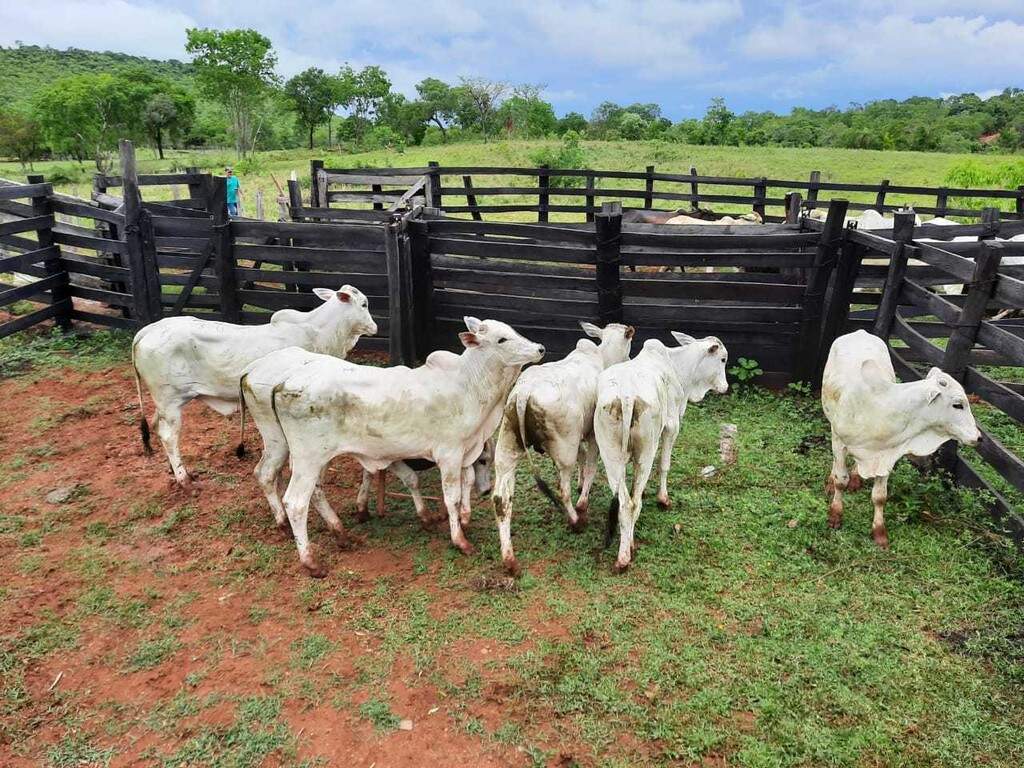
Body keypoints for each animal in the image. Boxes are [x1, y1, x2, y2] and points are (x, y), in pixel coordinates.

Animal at [132, 286, 376, 483]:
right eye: (364, 304)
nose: (374, 327)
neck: (320, 331)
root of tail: (147, 331)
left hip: (164, 403)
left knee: (155, 425)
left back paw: (172, 469)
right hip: (170, 402)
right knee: (168, 436)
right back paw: (183, 478)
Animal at [260, 319, 544, 577]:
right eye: (502, 339)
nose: (540, 348)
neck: (469, 386)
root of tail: (284, 383)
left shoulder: (465, 452)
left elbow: (464, 484)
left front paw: (461, 520)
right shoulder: (449, 454)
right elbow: (451, 497)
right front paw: (460, 540)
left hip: (316, 458)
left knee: (316, 492)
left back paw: (341, 533)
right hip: (308, 458)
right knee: (295, 503)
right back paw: (311, 561)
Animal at [491, 321, 634, 573]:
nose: (628, 359)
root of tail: (523, 394)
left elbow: (583, 460)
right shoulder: (592, 436)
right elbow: (590, 468)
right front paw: (583, 504)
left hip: (507, 445)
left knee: (501, 500)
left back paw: (510, 560)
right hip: (564, 448)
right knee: (562, 490)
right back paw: (575, 521)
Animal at [593, 333, 729, 573]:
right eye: (722, 359)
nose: (725, 386)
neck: (676, 365)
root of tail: (626, 397)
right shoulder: (672, 427)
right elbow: (664, 466)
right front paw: (663, 499)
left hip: (610, 453)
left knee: (625, 502)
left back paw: (624, 549)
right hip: (647, 449)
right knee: (632, 503)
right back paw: (626, 554)